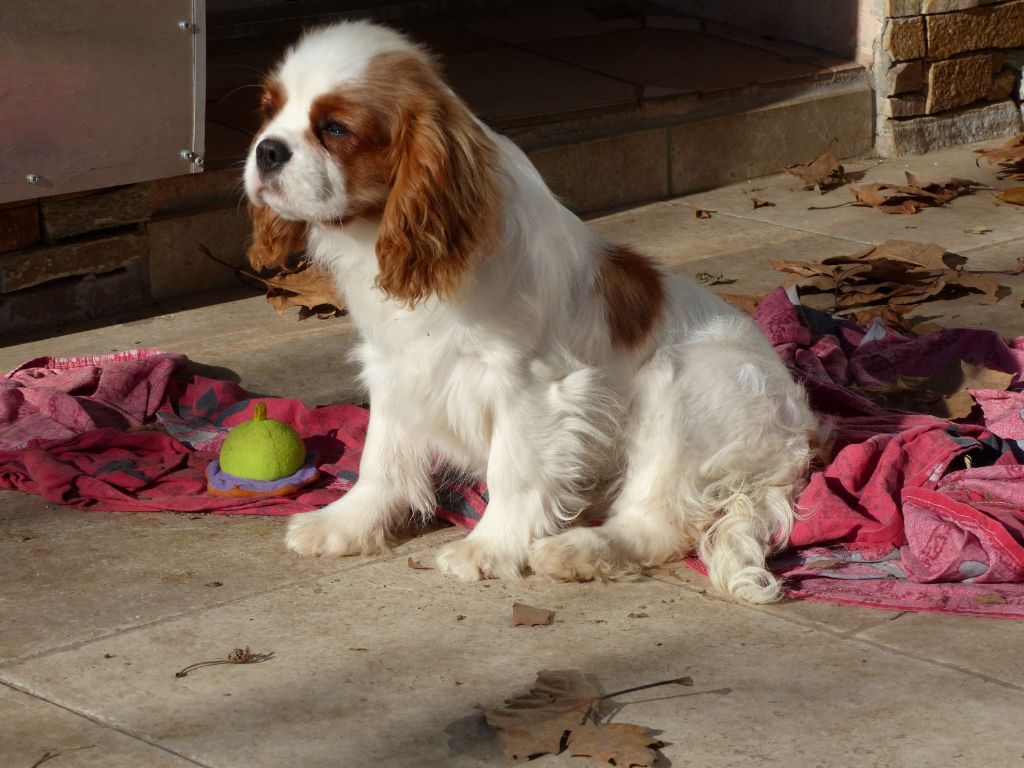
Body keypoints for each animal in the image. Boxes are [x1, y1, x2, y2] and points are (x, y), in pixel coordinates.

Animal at [243, 20, 819, 606]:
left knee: (658, 522)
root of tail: (797, 436)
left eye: (335, 128)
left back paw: (579, 550)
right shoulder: (395, 368)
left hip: (682, 383)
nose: (267, 151)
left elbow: (512, 472)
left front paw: (488, 548)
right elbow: (380, 455)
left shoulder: (530, 387)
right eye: (269, 110)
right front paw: (347, 523)